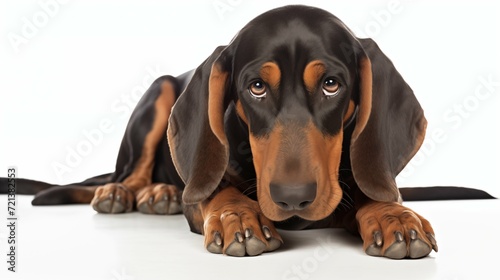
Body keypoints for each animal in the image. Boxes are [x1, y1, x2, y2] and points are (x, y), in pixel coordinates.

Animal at [0, 4, 492, 258]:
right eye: (256, 87)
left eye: (332, 84)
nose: (293, 197)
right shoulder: (202, 193)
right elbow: (217, 192)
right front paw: (237, 215)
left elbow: (371, 192)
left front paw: (393, 215)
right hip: (159, 91)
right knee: (129, 173)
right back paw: (133, 192)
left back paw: (159, 192)